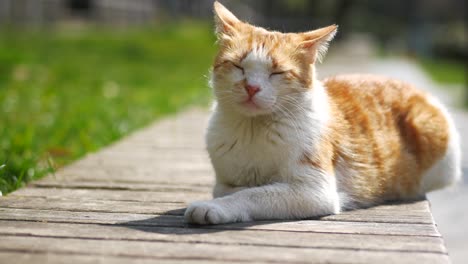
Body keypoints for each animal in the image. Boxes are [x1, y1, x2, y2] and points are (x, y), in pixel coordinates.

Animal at [184, 2, 460, 225]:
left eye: (277, 73)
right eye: (238, 66)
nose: (251, 87)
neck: (253, 129)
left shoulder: (315, 191)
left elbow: (252, 193)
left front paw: (213, 208)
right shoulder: (224, 181)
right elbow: (231, 189)